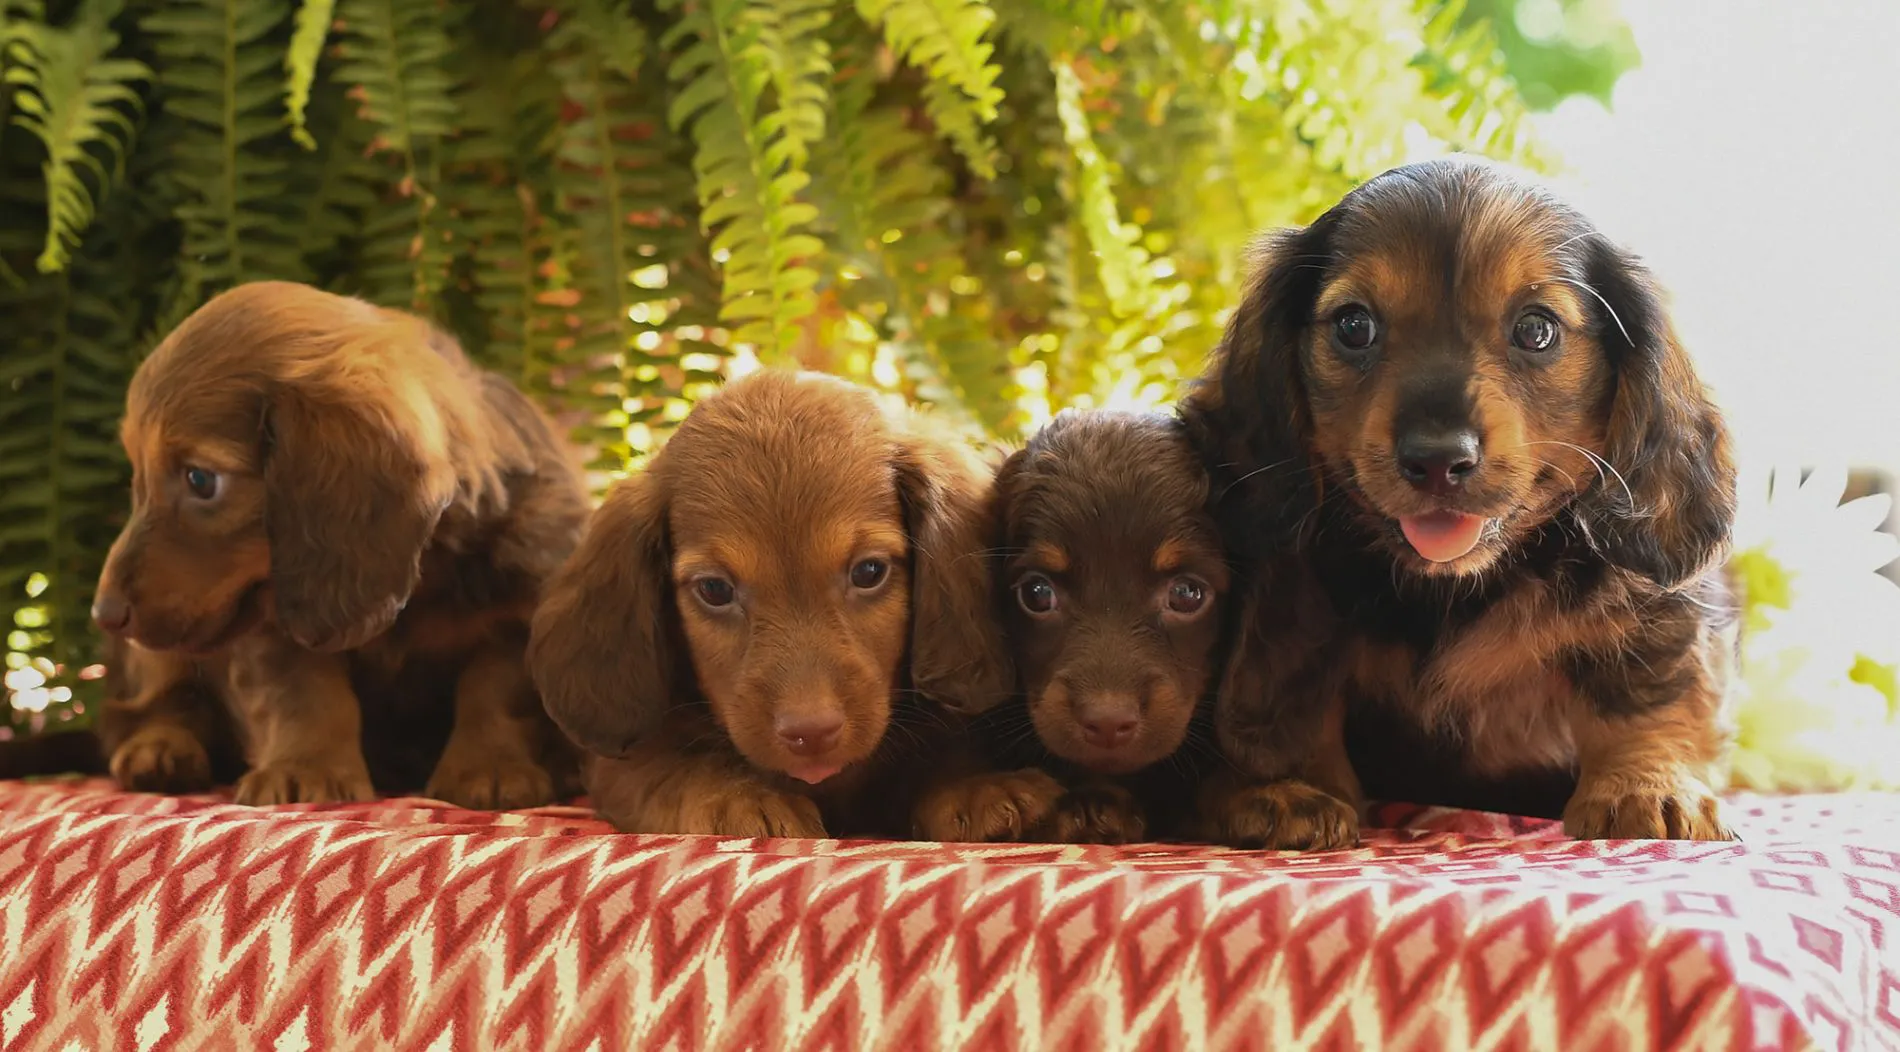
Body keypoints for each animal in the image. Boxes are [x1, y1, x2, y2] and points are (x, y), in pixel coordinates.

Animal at [85, 277, 585, 801]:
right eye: (137, 475)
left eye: (201, 480)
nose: (104, 614)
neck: (423, 582)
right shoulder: (277, 621)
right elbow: (306, 693)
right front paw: (304, 769)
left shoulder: (520, 611)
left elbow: (494, 692)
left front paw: (489, 767)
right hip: (156, 658)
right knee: (151, 706)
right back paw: (159, 749)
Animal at [528, 368, 1018, 835]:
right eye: (714, 589)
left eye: (869, 572)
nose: (811, 734)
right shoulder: (624, 762)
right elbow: (674, 768)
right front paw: (737, 798)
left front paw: (974, 786)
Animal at [1178, 153, 1740, 843]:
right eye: (1354, 325)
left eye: (1536, 329)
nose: (1438, 459)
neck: (1455, 591)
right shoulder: (1298, 614)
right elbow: (1295, 698)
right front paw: (1285, 787)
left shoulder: (1650, 611)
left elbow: (1645, 695)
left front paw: (1645, 784)